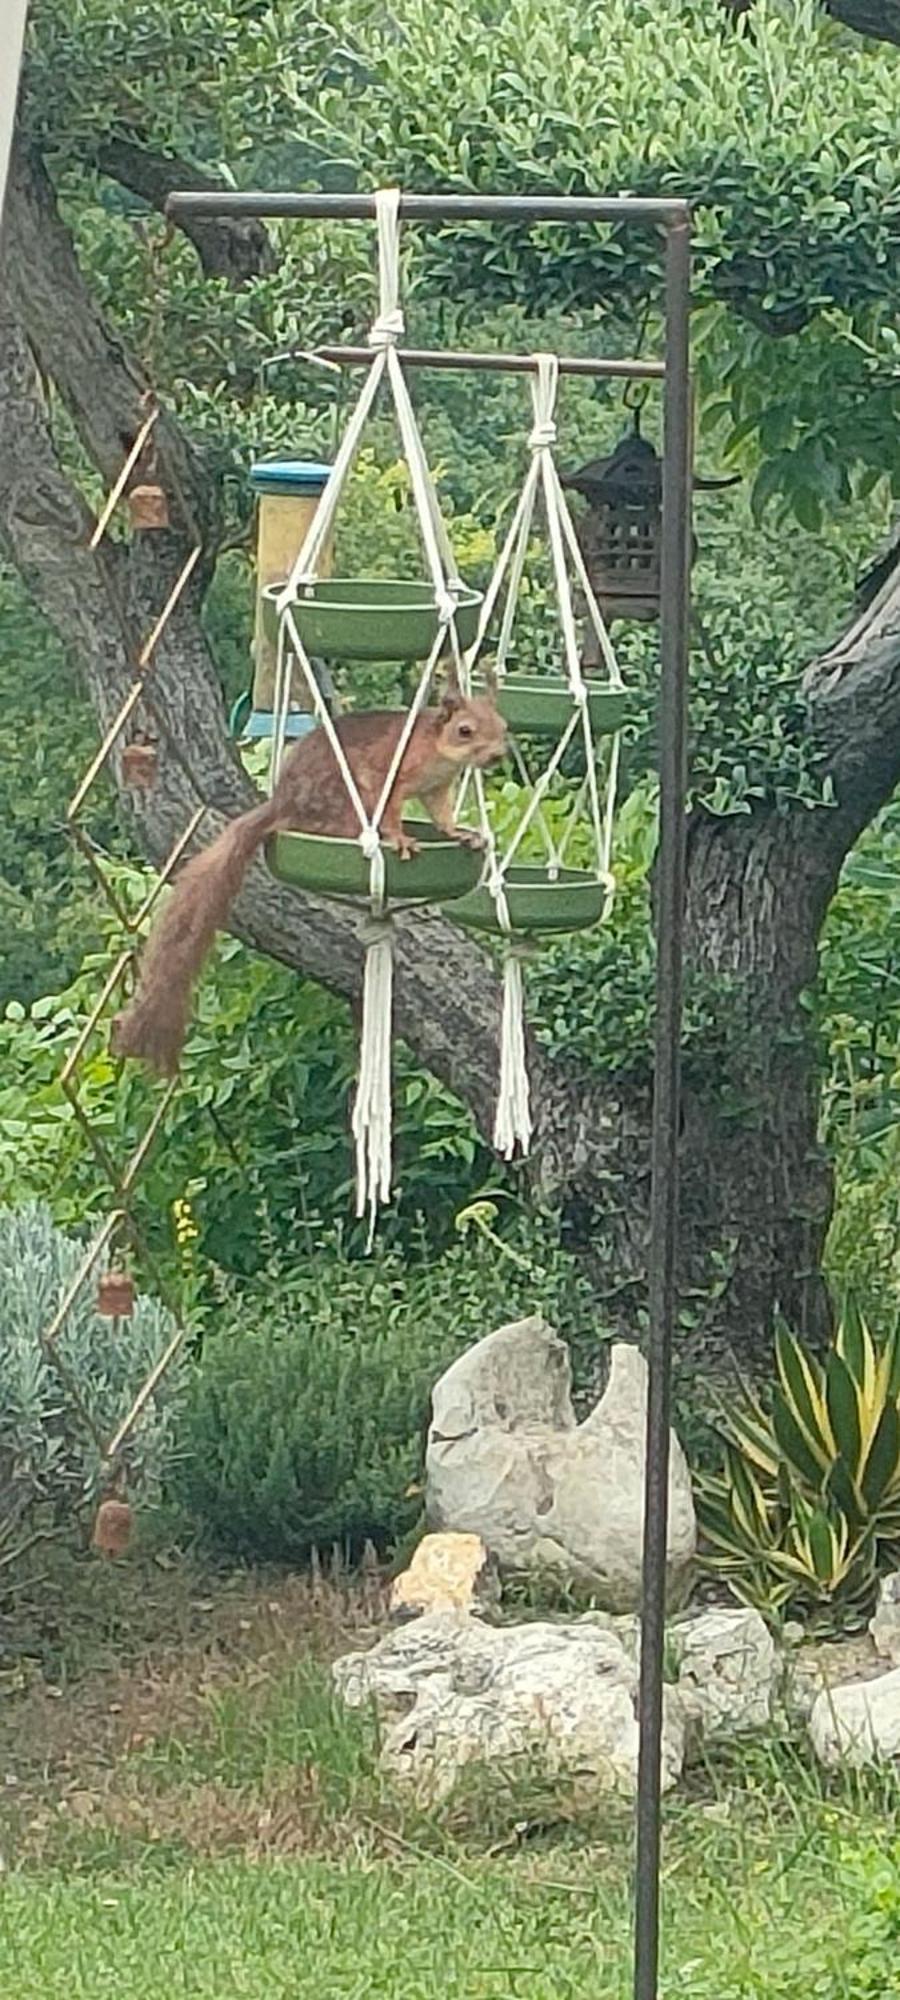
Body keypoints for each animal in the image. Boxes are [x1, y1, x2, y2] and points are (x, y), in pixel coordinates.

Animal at [110, 700, 506, 1088]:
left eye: (502, 725)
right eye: (464, 730)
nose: (497, 754)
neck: (441, 753)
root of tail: (282, 802)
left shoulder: (436, 788)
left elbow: (442, 817)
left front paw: (463, 834)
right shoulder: (395, 774)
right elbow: (393, 809)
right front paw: (400, 838)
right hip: (344, 799)